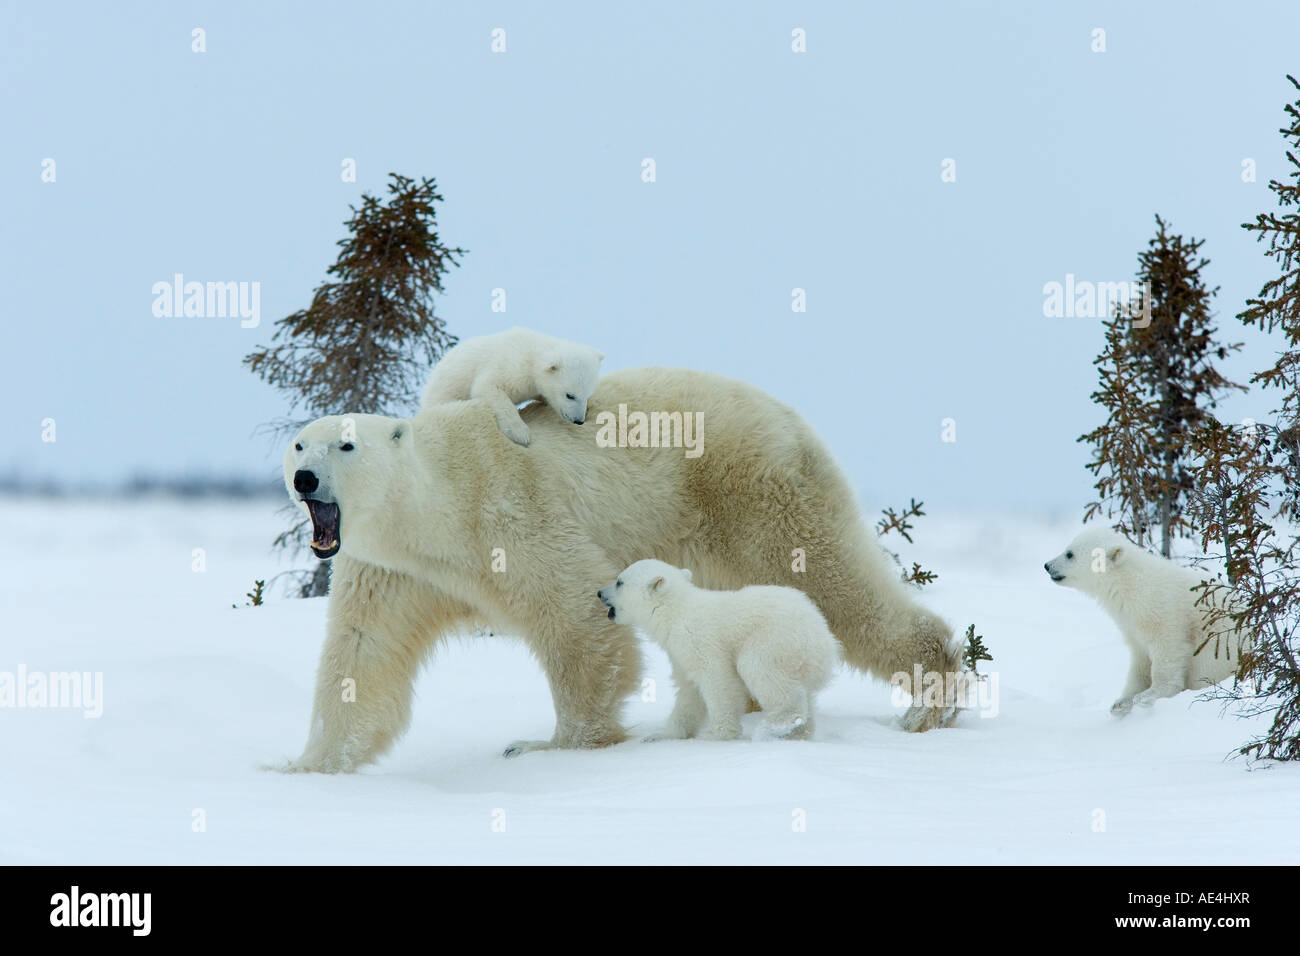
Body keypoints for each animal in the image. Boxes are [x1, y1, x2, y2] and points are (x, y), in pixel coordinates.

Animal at [282, 361, 956, 775]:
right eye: (299, 443)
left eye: (346, 444)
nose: (305, 478)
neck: (440, 506)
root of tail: (789, 416)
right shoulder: (394, 570)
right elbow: (363, 653)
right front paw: (305, 766)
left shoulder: (510, 510)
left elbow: (576, 616)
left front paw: (551, 745)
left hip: (753, 489)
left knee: (830, 579)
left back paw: (928, 697)